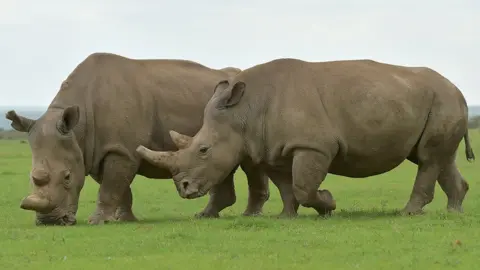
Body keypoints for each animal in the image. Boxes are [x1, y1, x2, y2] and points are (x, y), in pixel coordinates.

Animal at [5, 52, 272, 226]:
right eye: (31, 177)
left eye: (68, 177)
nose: (49, 221)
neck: (78, 127)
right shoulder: (96, 149)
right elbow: (119, 187)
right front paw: (123, 219)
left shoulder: (119, 150)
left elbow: (111, 186)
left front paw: (97, 221)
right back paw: (206, 216)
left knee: (250, 161)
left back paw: (249, 216)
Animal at [137, 58, 474, 218]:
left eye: (204, 150)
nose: (184, 189)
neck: (244, 111)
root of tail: (458, 89)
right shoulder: (270, 148)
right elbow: (287, 186)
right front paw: (286, 217)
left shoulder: (314, 146)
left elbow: (302, 185)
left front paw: (328, 203)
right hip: (434, 100)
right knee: (437, 157)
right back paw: (453, 212)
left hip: (443, 99)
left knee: (428, 158)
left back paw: (408, 213)